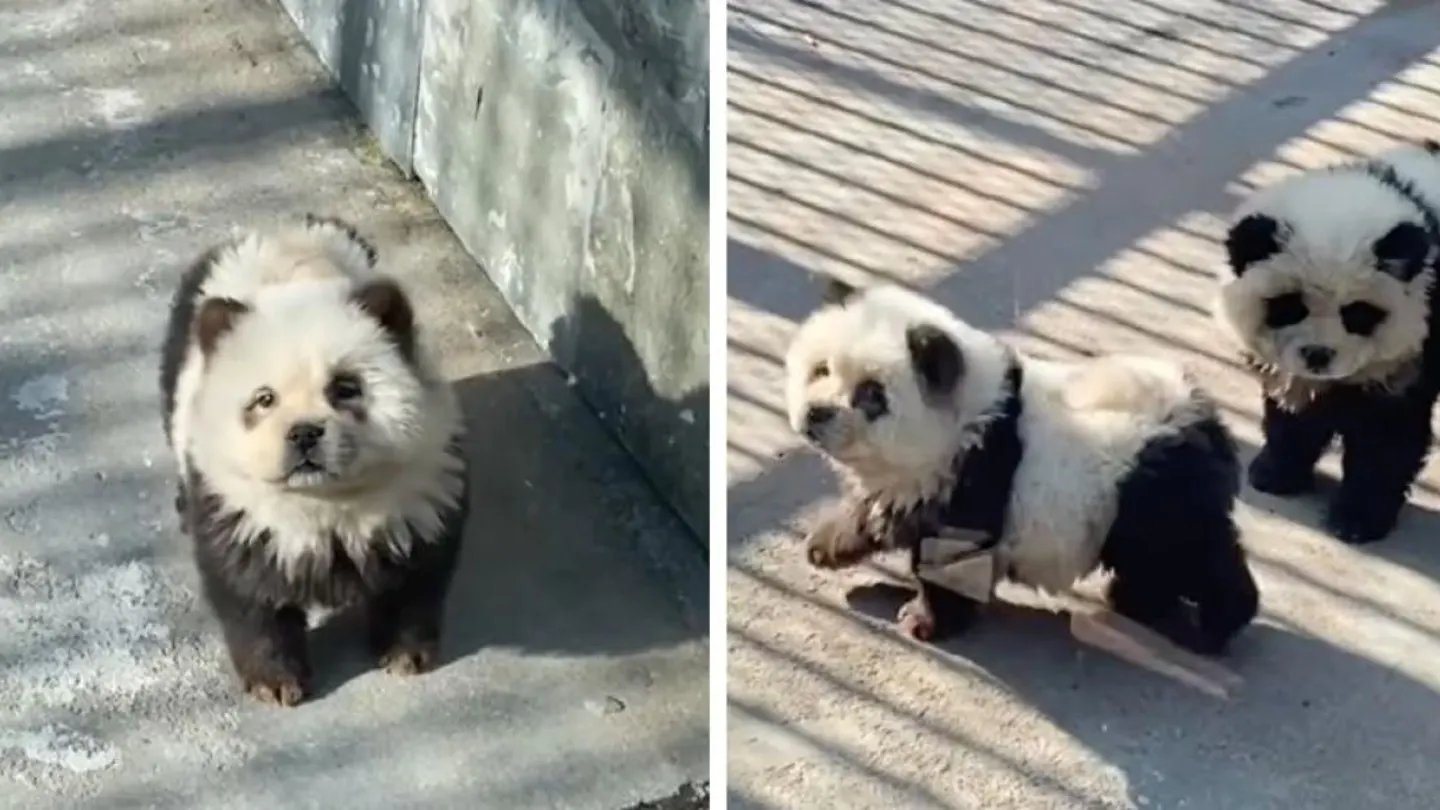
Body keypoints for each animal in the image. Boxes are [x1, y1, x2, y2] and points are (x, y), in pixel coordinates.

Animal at [159, 214, 468, 706]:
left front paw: (404, 654)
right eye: (264, 398)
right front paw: (275, 681)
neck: (325, 503)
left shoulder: (421, 489)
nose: (304, 433)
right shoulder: (239, 511)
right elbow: (249, 595)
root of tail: (281, 230)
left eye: (345, 387)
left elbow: (417, 576)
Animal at [787, 279, 1260, 656]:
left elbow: (950, 560)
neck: (970, 415)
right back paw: (1137, 600)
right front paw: (827, 544)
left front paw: (925, 621)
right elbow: (880, 507)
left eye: (871, 394)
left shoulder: (975, 475)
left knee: (1192, 555)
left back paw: (1218, 623)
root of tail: (1205, 420)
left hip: (1154, 494)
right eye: (820, 369)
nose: (816, 414)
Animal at [1216, 140, 1440, 544]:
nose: (1318, 355)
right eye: (1289, 306)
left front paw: (1357, 519)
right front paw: (1276, 472)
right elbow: (1294, 412)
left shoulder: (1416, 345)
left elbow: (1387, 437)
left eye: (1357, 313)